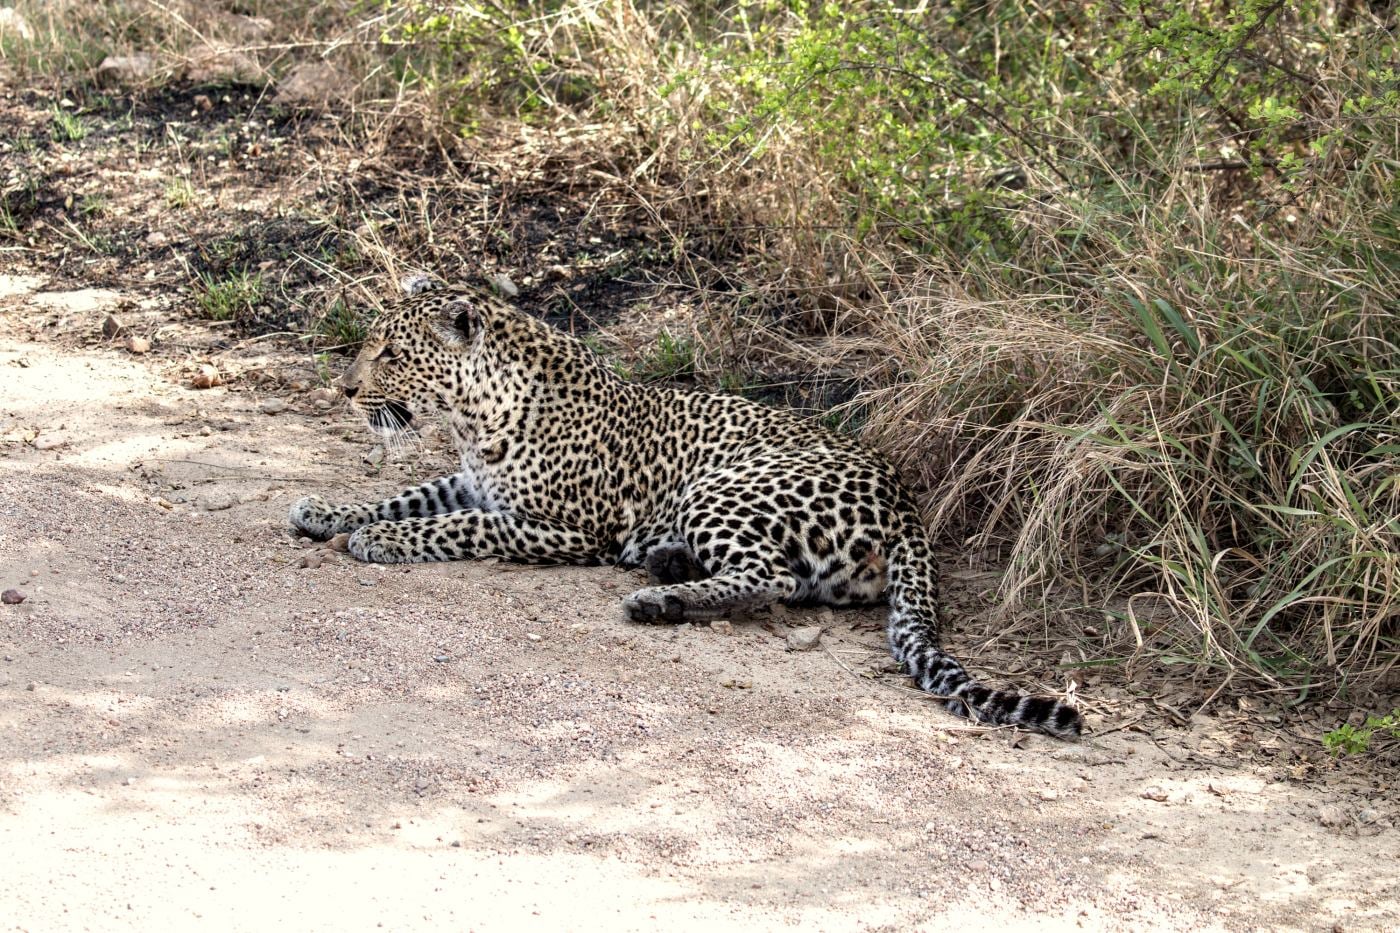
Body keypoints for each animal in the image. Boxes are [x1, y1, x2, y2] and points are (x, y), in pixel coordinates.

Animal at [289, 276, 1082, 739]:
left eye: (391, 354)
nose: (345, 390)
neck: (472, 414)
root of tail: (904, 498)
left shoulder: (564, 530)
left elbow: (455, 525)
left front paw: (382, 543)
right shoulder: (472, 480)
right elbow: (403, 496)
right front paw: (324, 512)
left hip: (723, 486)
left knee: (772, 576)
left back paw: (656, 599)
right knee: (790, 581)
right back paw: (667, 565)